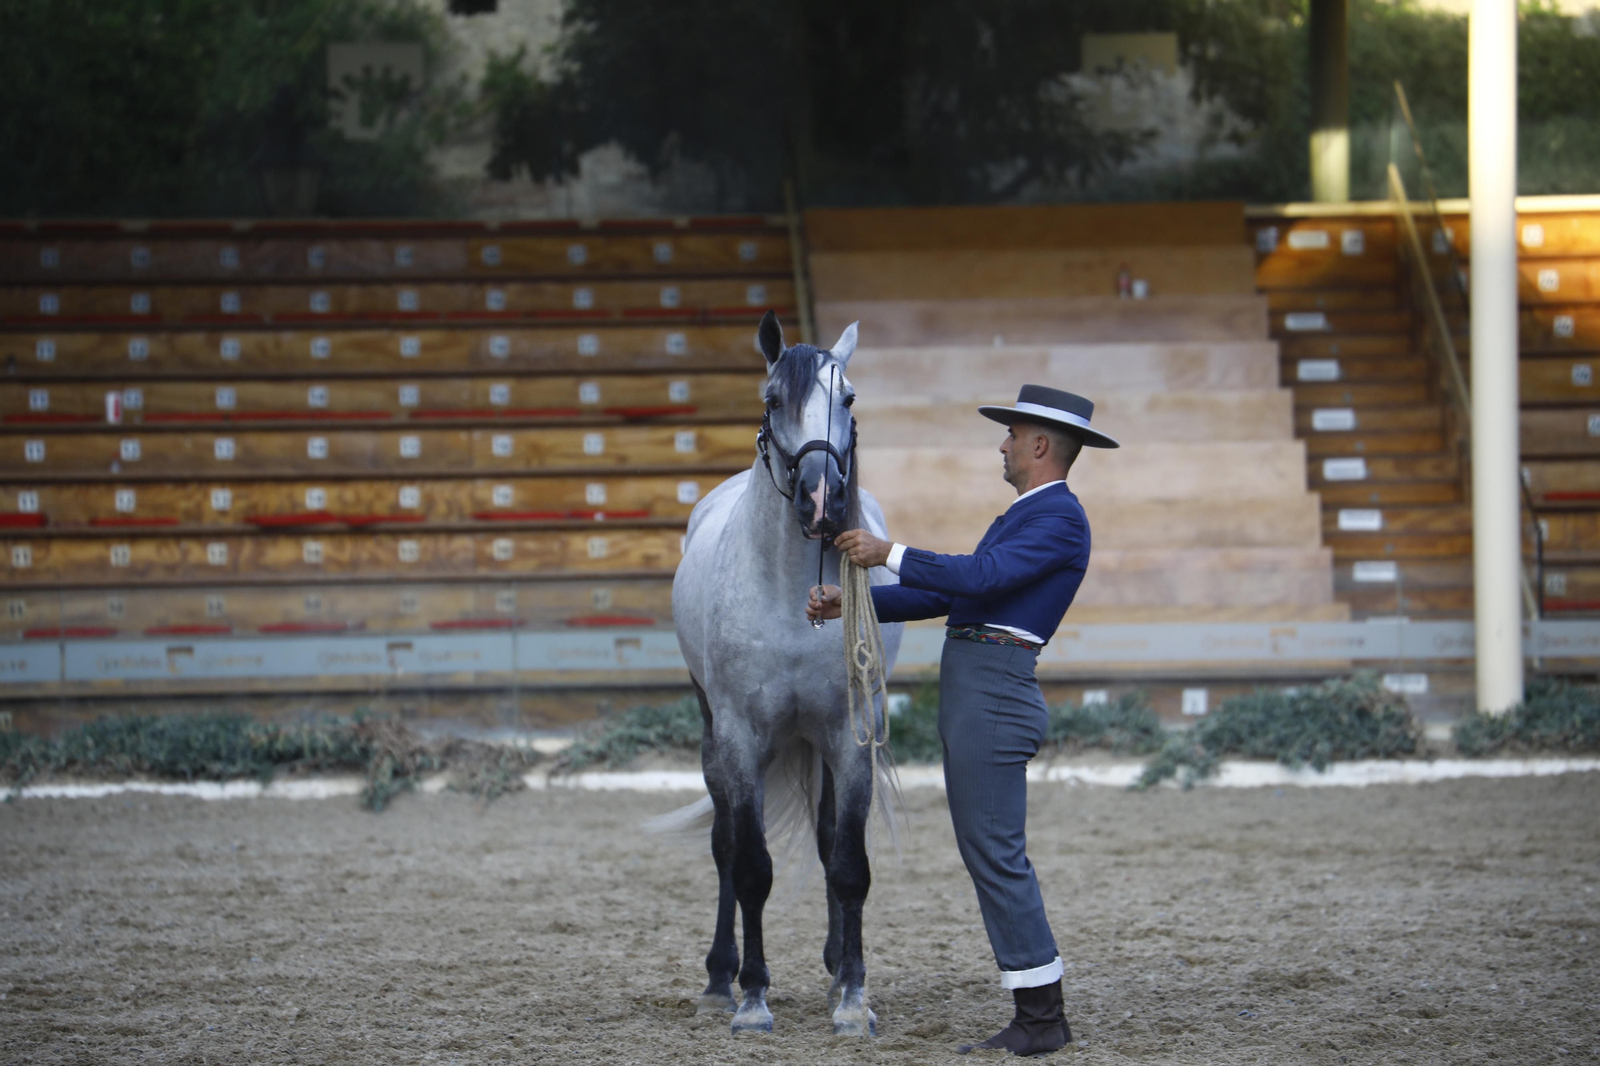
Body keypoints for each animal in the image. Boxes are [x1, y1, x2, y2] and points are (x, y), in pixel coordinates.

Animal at [663, 309, 904, 1037]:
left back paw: (831, 971)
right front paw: (752, 998)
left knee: (826, 843)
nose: (822, 499)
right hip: (713, 734)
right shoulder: (741, 738)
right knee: (723, 844)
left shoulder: (850, 734)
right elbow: (749, 867)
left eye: (848, 399)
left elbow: (848, 863)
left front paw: (853, 997)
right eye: (773, 402)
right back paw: (720, 978)